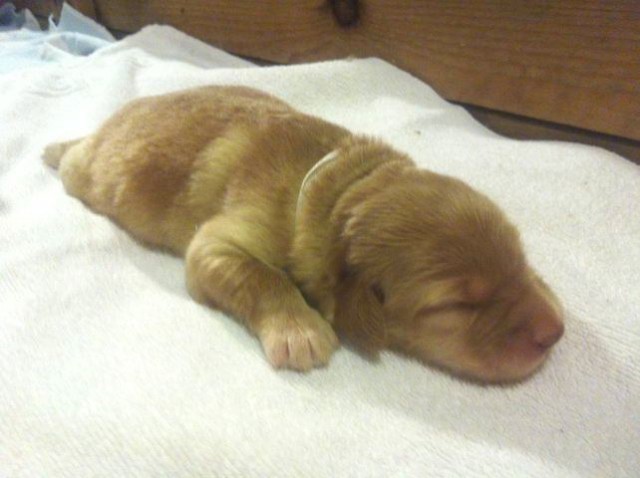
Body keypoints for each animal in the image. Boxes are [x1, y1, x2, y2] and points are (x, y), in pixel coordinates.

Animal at [44, 85, 564, 383]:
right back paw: (56, 148)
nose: (555, 333)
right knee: (72, 160)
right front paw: (298, 329)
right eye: (455, 305)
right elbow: (262, 274)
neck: (332, 185)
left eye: (521, 258)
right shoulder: (217, 242)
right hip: (87, 174)